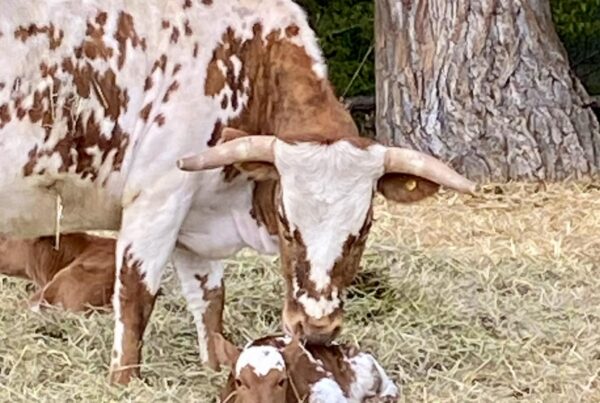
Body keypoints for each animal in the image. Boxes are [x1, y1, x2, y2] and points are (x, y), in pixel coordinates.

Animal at [2, 0, 476, 386]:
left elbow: (210, 305)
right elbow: (136, 297)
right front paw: (124, 382)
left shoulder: (195, 220)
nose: (316, 329)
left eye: (363, 229)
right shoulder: (158, 198)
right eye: (287, 223)